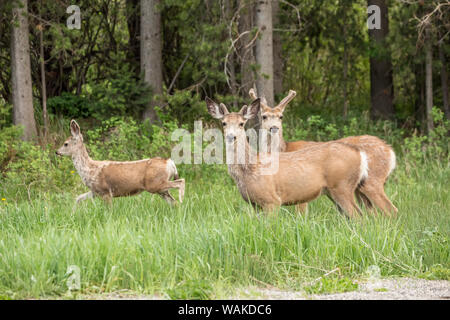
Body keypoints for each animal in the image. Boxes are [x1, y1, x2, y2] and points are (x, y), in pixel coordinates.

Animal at [55, 119, 185, 205]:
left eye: (65, 144)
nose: (57, 152)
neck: (90, 169)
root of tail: (170, 162)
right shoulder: (95, 191)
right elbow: (78, 198)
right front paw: (73, 214)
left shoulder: (106, 191)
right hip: (160, 189)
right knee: (173, 202)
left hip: (155, 184)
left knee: (181, 182)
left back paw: (182, 199)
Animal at [206, 97, 368, 218]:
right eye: (224, 123)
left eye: (241, 123)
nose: (231, 136)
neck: (249, 169)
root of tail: (360, 154)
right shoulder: (255, 204)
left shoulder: (272, 200)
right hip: (333, 191)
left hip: (342, 185)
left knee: (359, 216)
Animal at [248, 89, 400, 216]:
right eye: (264, 116)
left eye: (281, 116)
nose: (274, 128)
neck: (284, 149)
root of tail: (390, 151)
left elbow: (300, 215)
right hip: (359, 188)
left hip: (372, 180)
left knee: (391, 209)